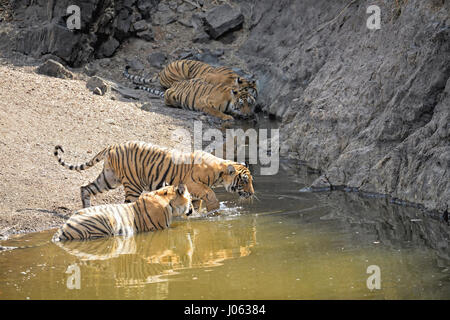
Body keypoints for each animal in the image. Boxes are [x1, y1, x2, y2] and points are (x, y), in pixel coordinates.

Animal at [53, 141, 253, 211]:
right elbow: (210, 194)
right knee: (128, 205)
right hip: (132, 185)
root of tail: (112, 145)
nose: (251, 193)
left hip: (109, 179)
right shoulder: (193, 184)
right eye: (244, 181)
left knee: (85, 188)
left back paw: (85, 208)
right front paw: (216, 210)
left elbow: (196, 205)